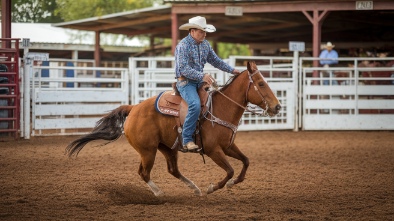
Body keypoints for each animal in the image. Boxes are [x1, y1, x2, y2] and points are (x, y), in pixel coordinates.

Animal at [65, 61, 280, 196]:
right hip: (148, 151)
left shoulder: (228, 147)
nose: (277, 107)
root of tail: (133, 108)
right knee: (144, 173)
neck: (221, 108)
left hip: (168, 148)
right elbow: (229, 170)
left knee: (173, 170)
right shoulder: (213, 150)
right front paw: (213, 187)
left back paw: (194, 188)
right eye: (261, 83)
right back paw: (160, 193)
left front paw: (232, 183)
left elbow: (246, 161)